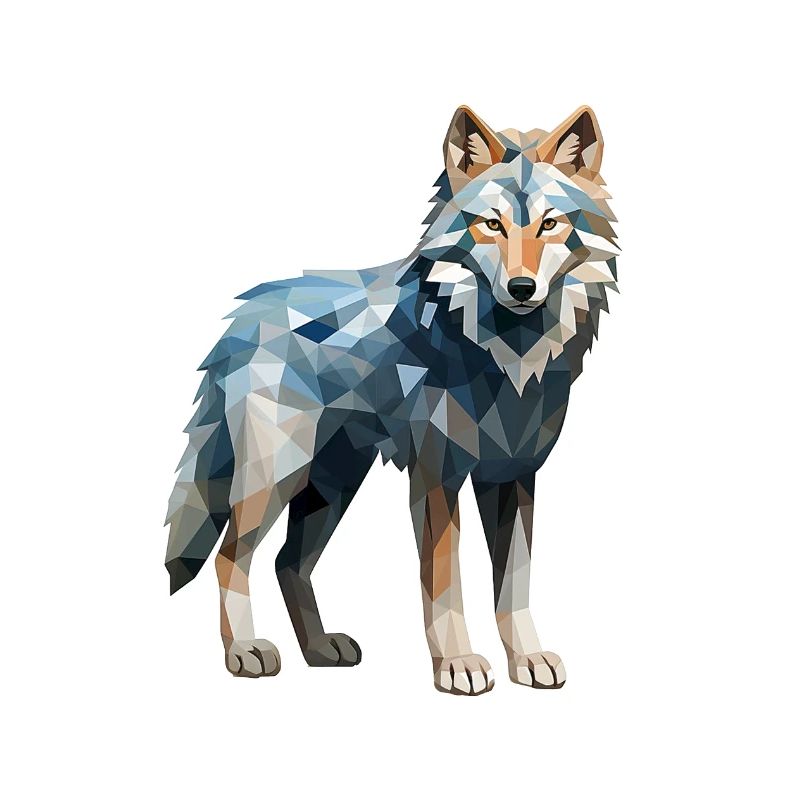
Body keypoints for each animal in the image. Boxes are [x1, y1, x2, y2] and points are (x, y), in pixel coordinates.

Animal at [165, 105, 618, 695]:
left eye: (551, 224)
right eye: (491, 225)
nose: (521, 289)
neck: (505, 354)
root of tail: (242, 317)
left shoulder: (514, 475)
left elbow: (513, 586)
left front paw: (528, 658)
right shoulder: (437, 476)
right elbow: (445, 582)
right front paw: (458, 664)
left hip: (331, 487)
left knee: (288, 564)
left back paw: (319, 648)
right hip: (277, 477)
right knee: (231, 557)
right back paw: (245, 650)